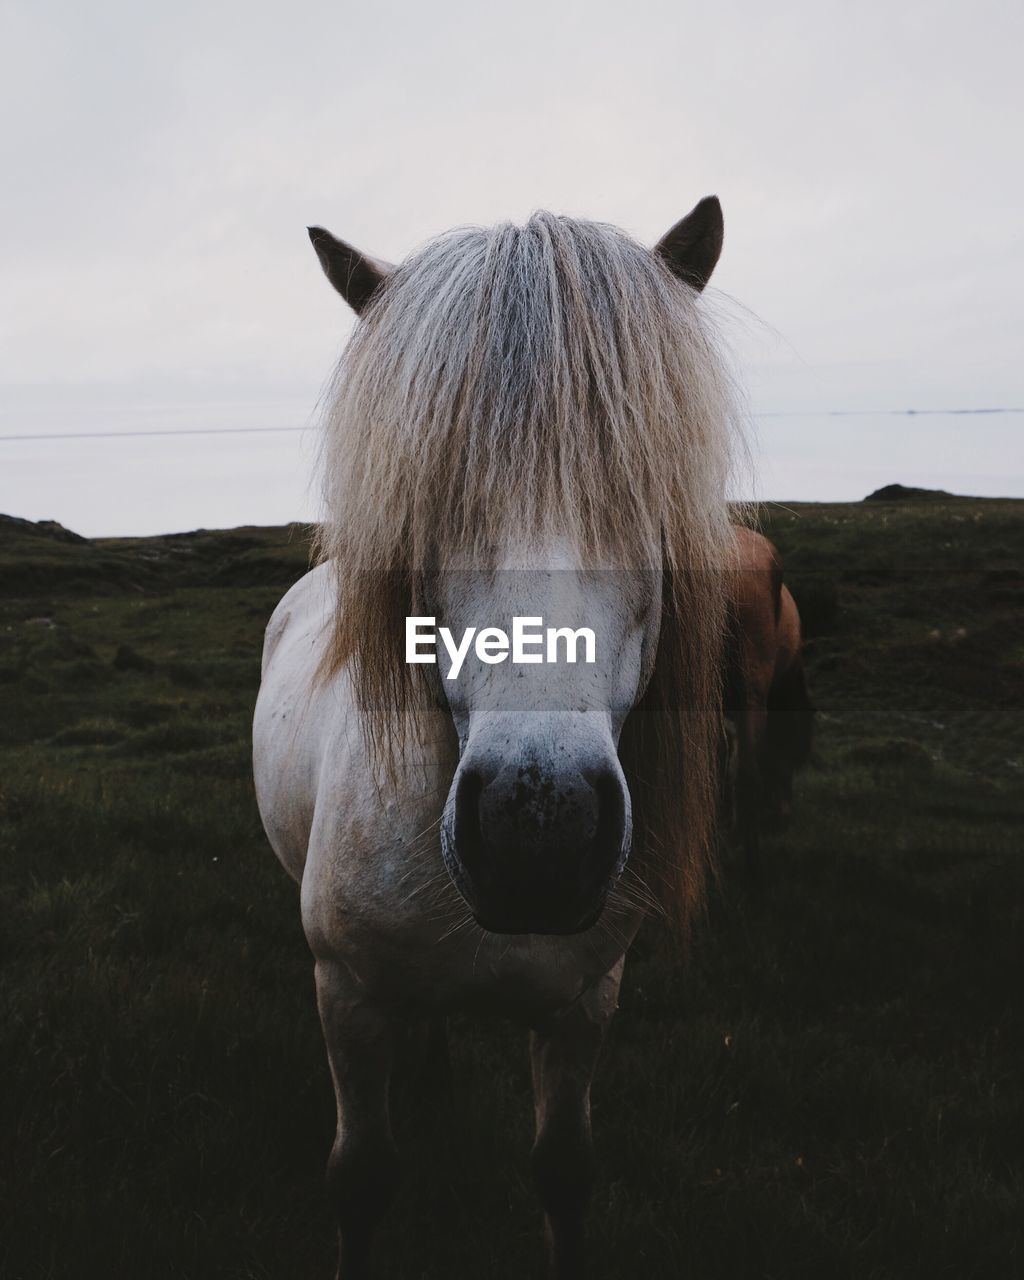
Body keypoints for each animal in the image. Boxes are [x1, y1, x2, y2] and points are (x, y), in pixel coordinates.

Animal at [252, 194, 747, 1274]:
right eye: (422, 496)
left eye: (640, 490)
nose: (539, 829)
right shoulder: (346, 996)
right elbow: (362, 1178)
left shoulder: (582, 1006)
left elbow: (564, 1173)